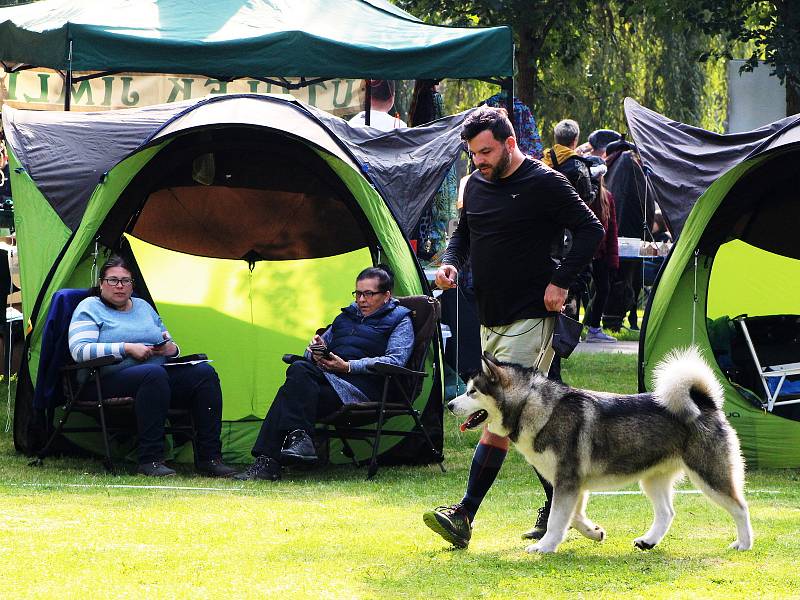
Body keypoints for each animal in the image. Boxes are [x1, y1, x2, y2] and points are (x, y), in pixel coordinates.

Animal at [446, 350, 752, 556]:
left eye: (472, 392)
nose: (449, 405)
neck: (532, 407)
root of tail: (706, 402)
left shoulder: (568, 480)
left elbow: (557, 518)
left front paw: (545, 545)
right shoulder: (572, 484)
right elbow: (573, 516)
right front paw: (593, 532)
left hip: (710, 475)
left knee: (741, 507)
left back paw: (744, 543)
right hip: (652, 479)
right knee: (667, 512)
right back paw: (648, 541)